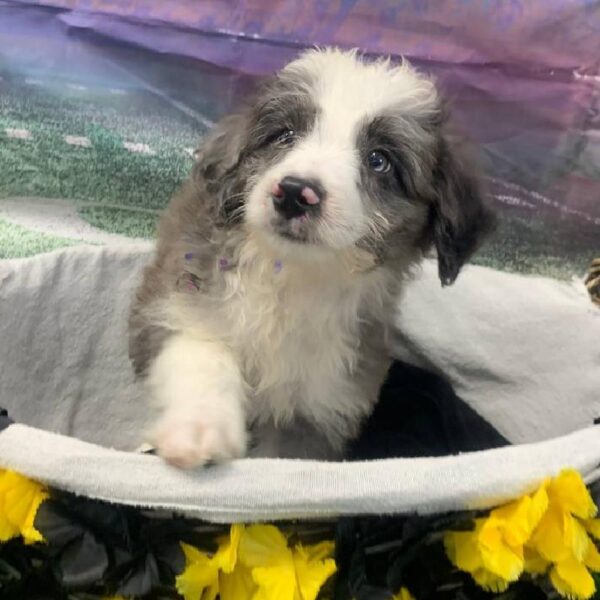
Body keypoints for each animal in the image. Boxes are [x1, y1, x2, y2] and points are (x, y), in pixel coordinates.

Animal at [129, 48, 494, 468]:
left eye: (379, 160)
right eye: (285, 135)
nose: (293, 193)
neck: (293, 275)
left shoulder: (320, 409)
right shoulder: (177, 298)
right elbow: (202, 348)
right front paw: (199, 427)